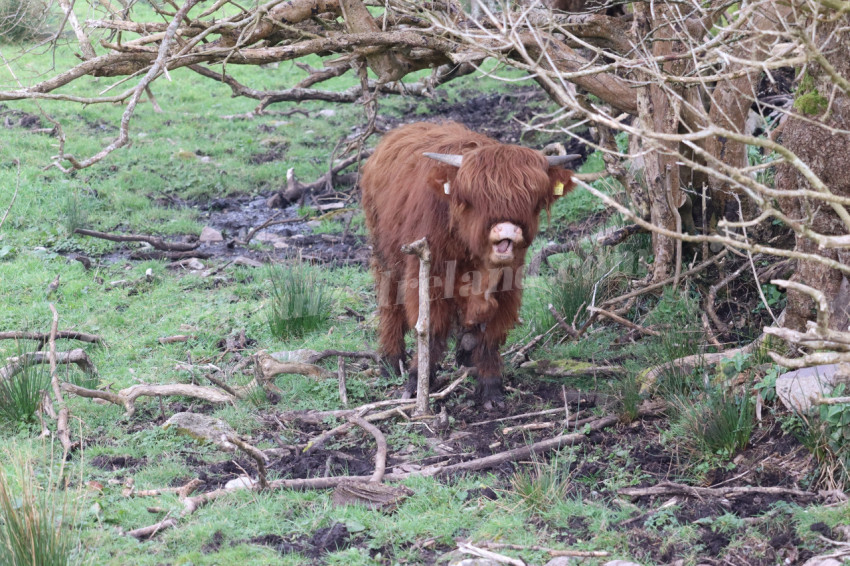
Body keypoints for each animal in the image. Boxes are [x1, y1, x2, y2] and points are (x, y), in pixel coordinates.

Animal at [360, 121, 577, 409]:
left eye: (533, 199)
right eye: (477, 198)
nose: (507, 230)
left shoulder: (508, 284)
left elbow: (490, 336)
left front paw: (491, 388)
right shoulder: (428, 276)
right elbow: (429, 330)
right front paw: (418, 383)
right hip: (385, 255)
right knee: (390, 305)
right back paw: (390, 362)